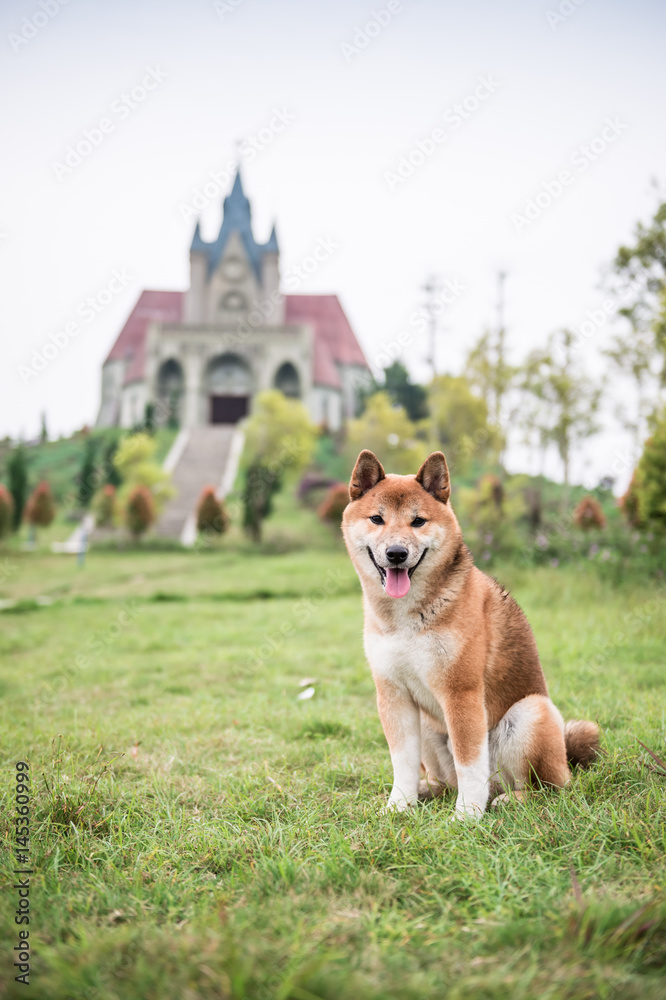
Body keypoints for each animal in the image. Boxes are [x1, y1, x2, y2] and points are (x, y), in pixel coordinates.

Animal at [342, 450, 596, 816]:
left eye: (418, 521)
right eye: (377, 519)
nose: (396, 553)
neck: (406, 617)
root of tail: (566, 761)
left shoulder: (460, 692)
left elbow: (469, 763)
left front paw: (467, 815)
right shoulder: (394, 694)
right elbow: (402, 762)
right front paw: (399, 805)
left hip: (530, 714)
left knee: (549, 789)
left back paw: (509, 799)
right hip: (428, 725)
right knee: (444, 782)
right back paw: (426, 791)